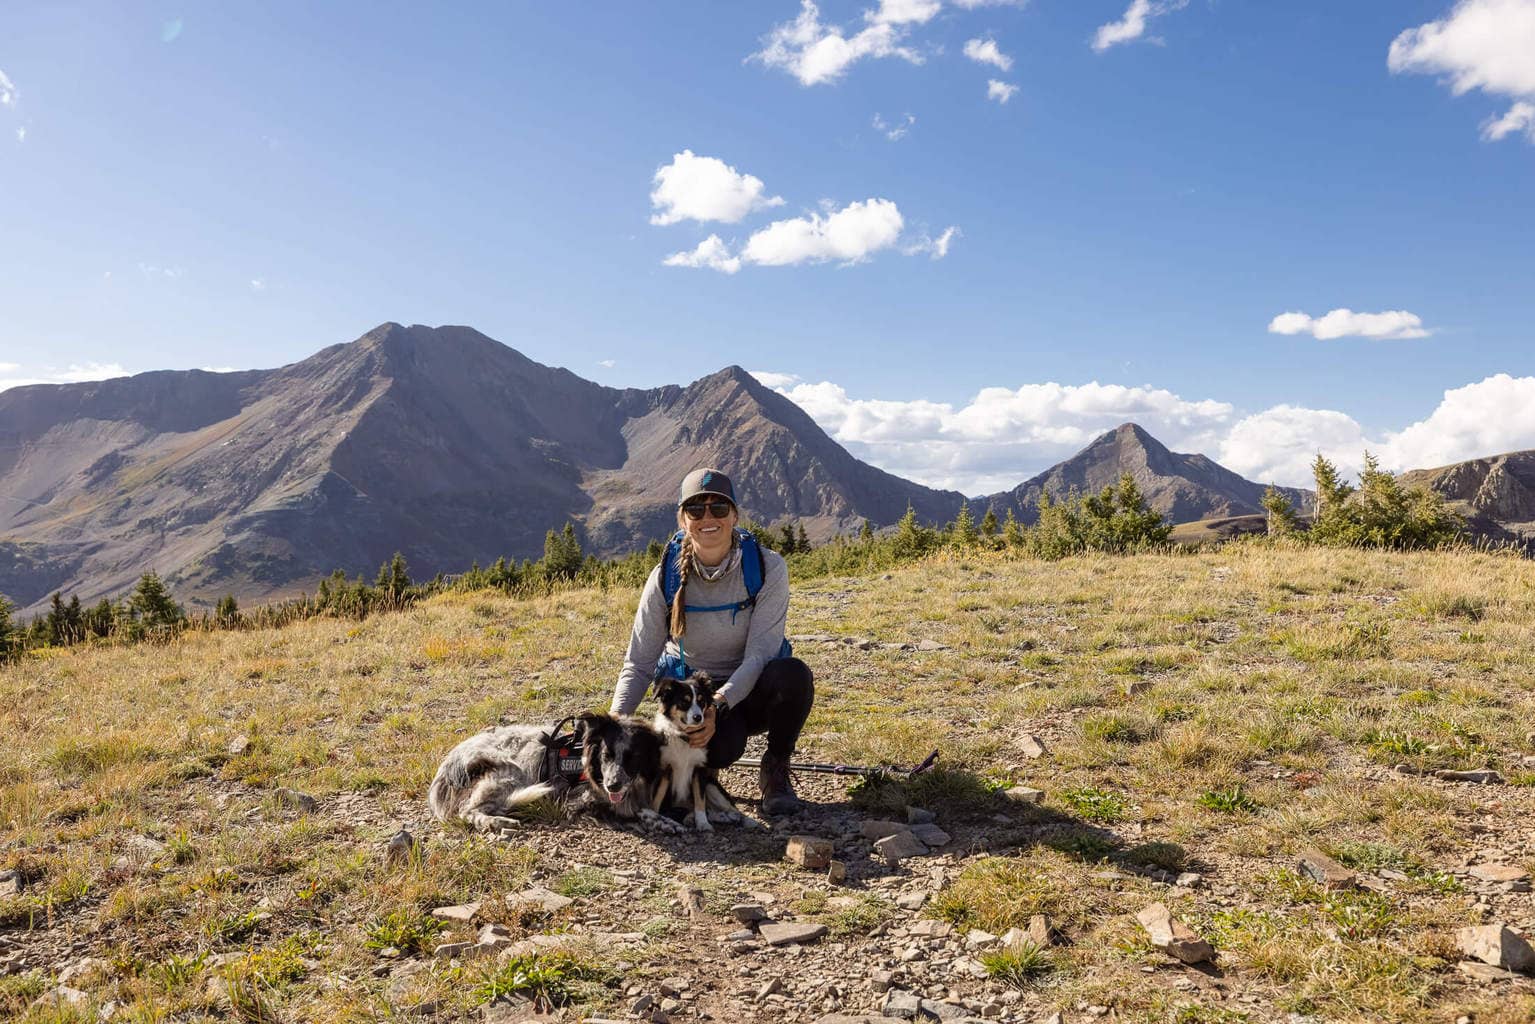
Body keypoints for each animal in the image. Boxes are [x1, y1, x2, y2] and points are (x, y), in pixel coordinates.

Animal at [650, 672, 739, 835]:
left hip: (711, 785)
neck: (685, 736)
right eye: (684, 702)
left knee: (732, 810)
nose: (698, 718)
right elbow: (657, 797)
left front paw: (703, 823)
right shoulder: (665, 769)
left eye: (701, 701)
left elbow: (700, 800)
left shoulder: (699, 769)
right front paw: (654, 817)